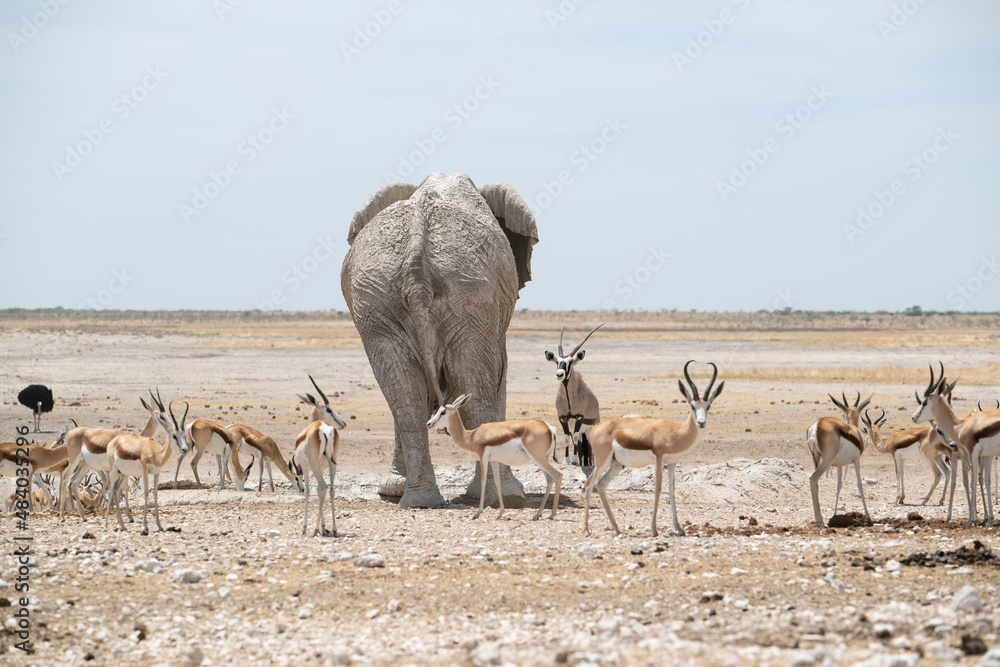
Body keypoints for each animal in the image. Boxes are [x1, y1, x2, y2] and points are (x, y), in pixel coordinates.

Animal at [341, 173, 538, 508]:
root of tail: (415, 264)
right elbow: (499, 375)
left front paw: (393, 490)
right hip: (471, 295)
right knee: (477, 390)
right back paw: (505, 496)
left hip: (379, 301)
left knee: (405, 396)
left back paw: (418, 501)